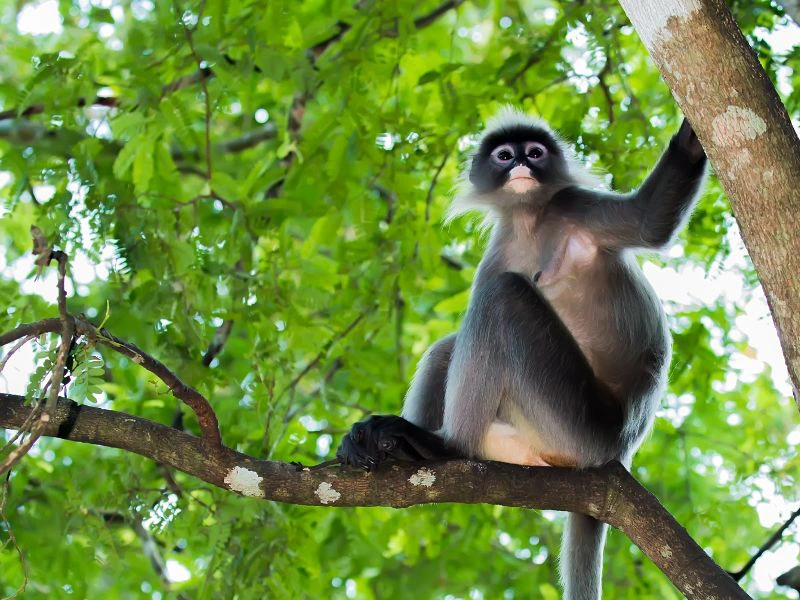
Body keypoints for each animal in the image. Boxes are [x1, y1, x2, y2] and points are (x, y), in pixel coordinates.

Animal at [337, 107, 707, 600]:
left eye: (534, 153)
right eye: (504, 155)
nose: (520, 167)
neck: (532, 223)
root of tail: (622, 447)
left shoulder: (573, 205)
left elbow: (651, 222)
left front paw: (693, 137)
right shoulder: (499, 249)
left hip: (575, 422)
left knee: (502, 298)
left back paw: (443, 446)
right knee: (454, 341)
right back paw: (411, 445)